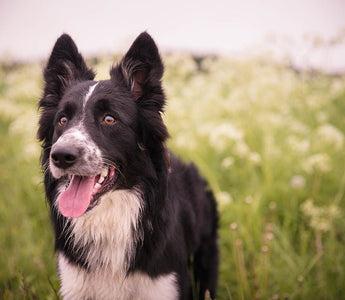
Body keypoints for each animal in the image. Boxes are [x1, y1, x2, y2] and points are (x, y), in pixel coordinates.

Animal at [38, 32, 218, 300]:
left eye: (109, 119)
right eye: (62, 120)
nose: (60, 156)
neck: (109, 217)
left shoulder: (163, 285)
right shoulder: (76, 284)